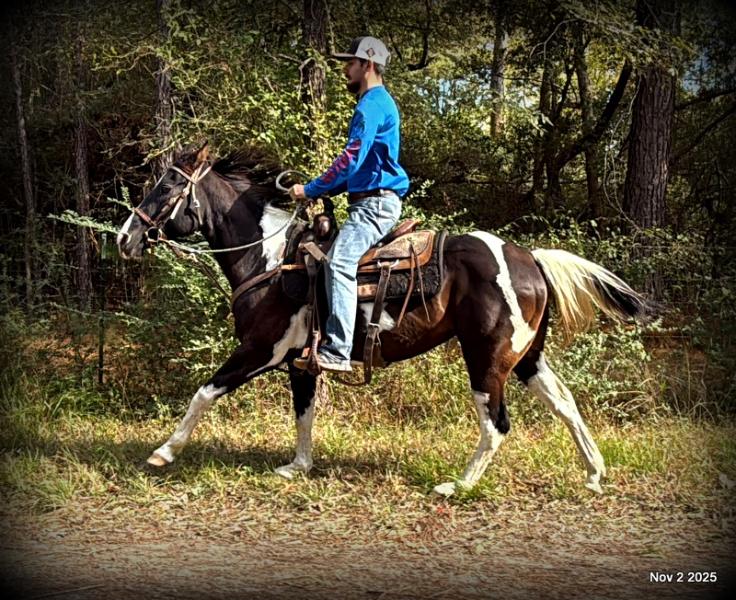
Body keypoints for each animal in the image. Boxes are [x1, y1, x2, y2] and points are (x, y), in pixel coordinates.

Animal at [116, 142, 652, 496]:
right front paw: (299, 466)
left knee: (497, 423)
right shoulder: (299, 362)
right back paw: (594, 474)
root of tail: (530, 259)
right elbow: (304, 412)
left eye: (166, 185)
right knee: (565, 403)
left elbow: (204, 394)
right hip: (526, 357)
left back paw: (457, 485)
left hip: (486, 359)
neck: (271, 259)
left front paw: (164, 452)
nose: (125, 238)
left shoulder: (260, 350)